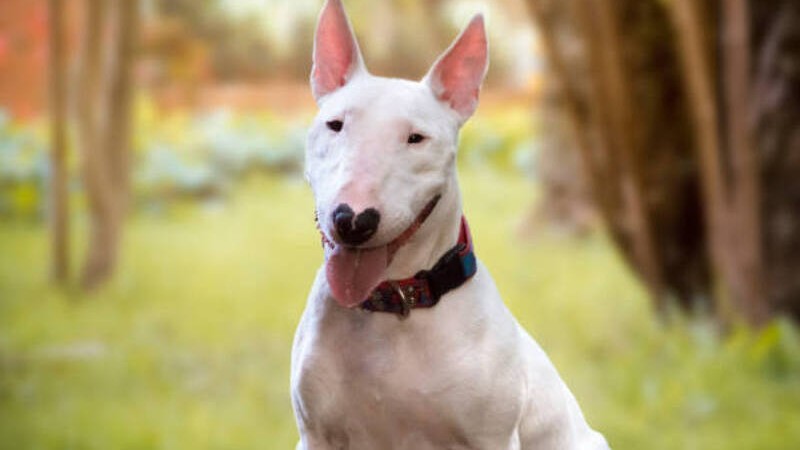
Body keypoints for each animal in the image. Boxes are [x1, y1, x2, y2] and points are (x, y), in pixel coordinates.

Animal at [290, 1, 608, 448]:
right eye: (335, 125)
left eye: (416, 138)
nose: (352, 220)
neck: (397, 301)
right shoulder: (316, 435)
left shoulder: (493, 437)